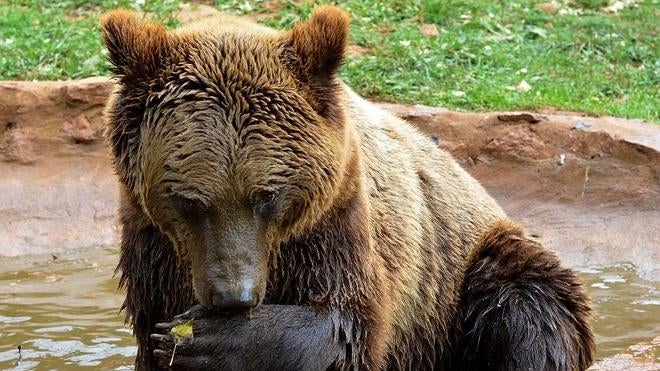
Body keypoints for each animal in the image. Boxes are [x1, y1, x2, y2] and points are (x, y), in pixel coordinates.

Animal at [100, 6, 596, 371]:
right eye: (190, 201)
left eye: (266, 194)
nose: (232, 296)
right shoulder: (154, 248)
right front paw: (175, 338)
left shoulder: (339, 225)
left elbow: (345, 326)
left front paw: (206, 340)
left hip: (462, 276)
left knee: (526, 309)